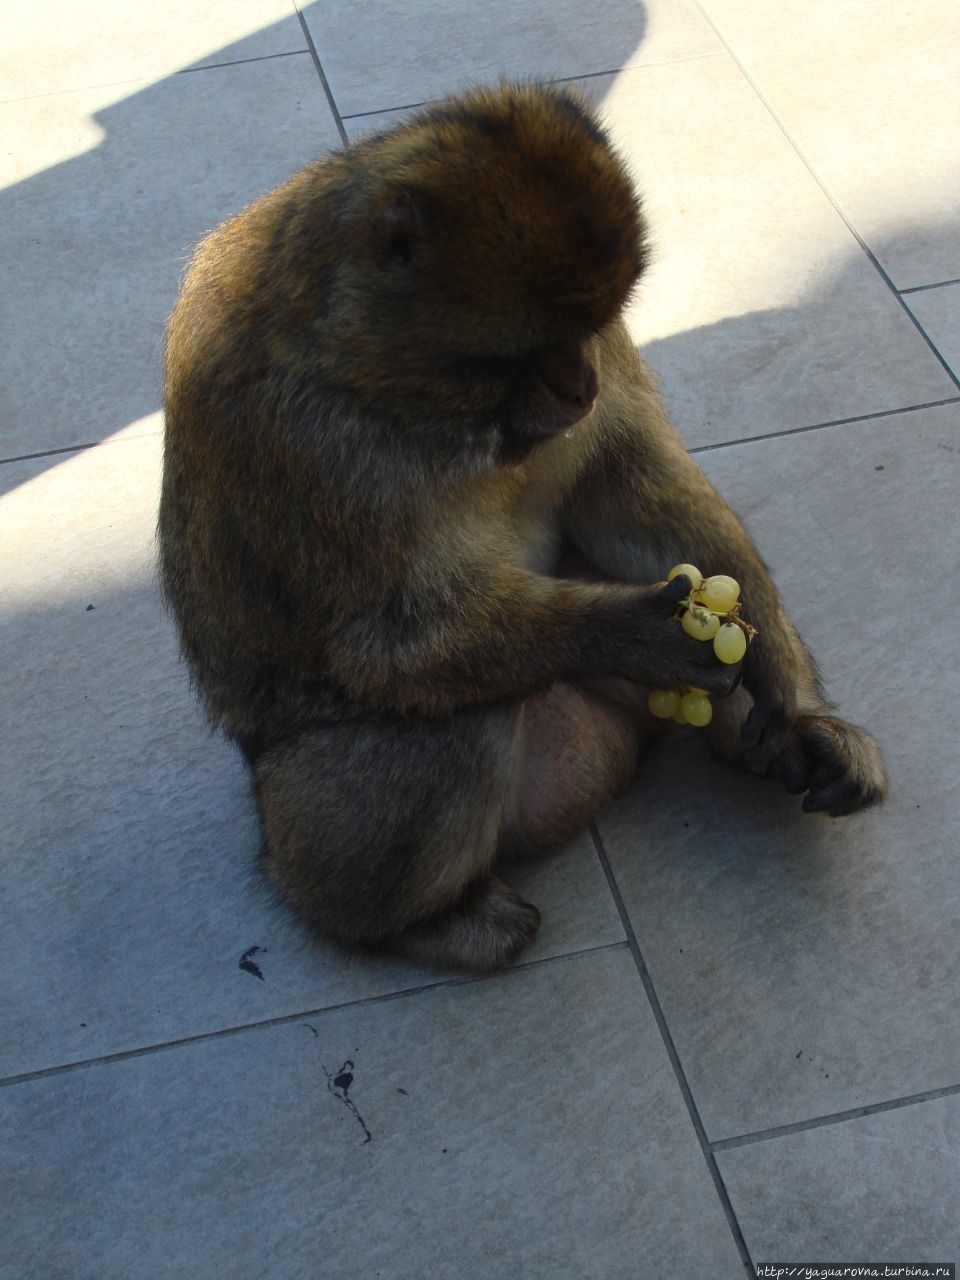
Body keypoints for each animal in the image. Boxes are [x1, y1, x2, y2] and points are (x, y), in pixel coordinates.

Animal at [158, 82, 885, 967]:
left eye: (590, 325)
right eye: (531, 345)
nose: (580, 385)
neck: (386, 378)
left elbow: (623, 485)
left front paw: (773, 659)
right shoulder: (300, 438)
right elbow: (383, 647)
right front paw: (626, 632)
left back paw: (799, 740)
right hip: (301, 819)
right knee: (453, 722)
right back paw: (424, 922)